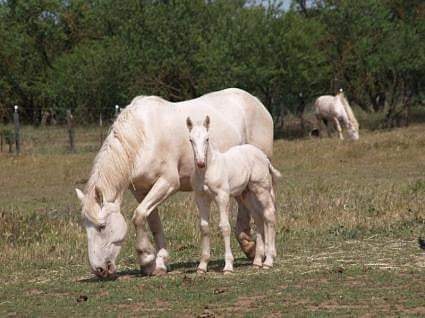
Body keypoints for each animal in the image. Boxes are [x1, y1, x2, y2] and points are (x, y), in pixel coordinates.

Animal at [73, 88, 272, 278]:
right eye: (85, 227)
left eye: (102, 227)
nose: (98, 270)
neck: (143, 137)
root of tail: (257, 103)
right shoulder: (141, 191)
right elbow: (152, 222)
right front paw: (158, 265)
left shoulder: (167, 183)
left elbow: (138, 216)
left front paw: (146, 258)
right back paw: (249, 246)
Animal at [186, 116, 282, 274]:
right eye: (191, 140)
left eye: (207, 139)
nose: (200, 162)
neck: (207, 170)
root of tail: (263, 156)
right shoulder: (201, 198)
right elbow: (204, 227)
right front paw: (202, 266)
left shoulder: (222, 197)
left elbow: (225, 227)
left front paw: (228, 266)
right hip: (247, 194)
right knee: (258, 218)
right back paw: (257, 261)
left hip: (261, 189)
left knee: (269, 215)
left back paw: (268, 261)